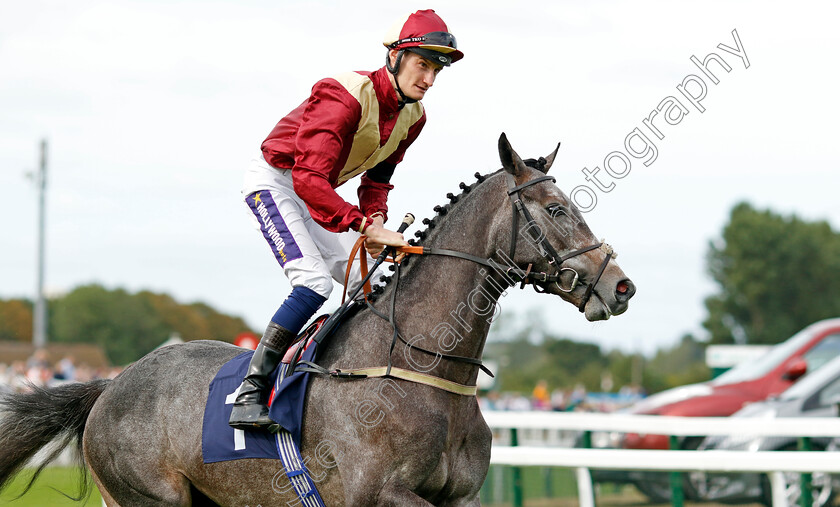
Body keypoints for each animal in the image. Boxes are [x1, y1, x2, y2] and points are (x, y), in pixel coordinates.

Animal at [0, 133, 632, 506]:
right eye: (557, 209)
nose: (620, 286)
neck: (415, 366)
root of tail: (110, 386)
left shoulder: (462, 496)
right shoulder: (378, 495)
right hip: (149, 497)